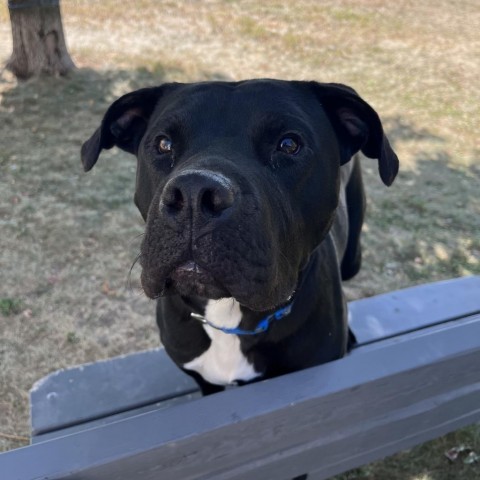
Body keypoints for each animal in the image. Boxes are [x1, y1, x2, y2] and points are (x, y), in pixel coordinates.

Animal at [81, 79, 398, 394]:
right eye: (163, 144)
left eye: (289, 144)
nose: (194, 193)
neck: (228, 317)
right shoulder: (204, 382)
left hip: (353, 257)